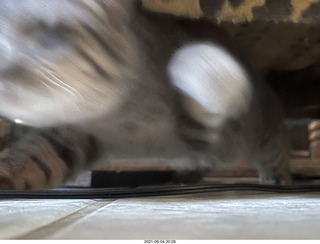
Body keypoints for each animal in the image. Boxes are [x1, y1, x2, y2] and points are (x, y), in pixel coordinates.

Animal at [0, 0, 292, 190]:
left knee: (278, 150)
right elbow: (35, 159)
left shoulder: (204, 132)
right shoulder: (72, 135)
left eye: (45, 34)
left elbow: (195, 65)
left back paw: (278, 177)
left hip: (262, 136)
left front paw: (199, 66)